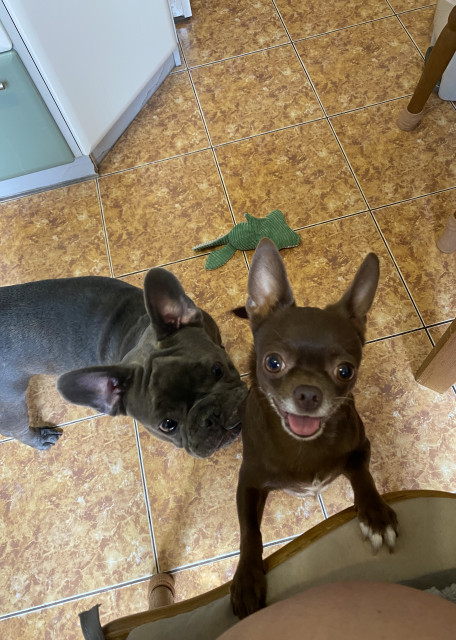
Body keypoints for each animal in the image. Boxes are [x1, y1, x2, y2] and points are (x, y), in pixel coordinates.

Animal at [0, 268, 247, 457]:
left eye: (217, 370)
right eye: (168, 425)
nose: (210, 417)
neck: (136, 332)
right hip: (11, 404)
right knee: (15, 430)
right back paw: (40, 438)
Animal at [230, 238, 398, 619]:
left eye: (345, 371)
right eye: (273, 362)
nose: (308, 392)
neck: (303, 445)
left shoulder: (360, 447)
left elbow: (363, 476)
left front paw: (376, 515)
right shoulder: (248, 483)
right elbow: (250, 533)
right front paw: (247, 578)